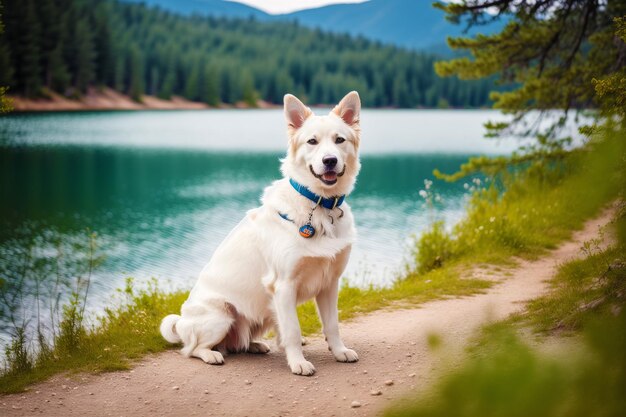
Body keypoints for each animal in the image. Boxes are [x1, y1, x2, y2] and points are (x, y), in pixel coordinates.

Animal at [160, 90, 360, 374]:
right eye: (312, 141)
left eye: (339, 140)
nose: (329, 160)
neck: (319, 204)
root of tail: (182, 323)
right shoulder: (284, 286)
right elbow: (292, 331)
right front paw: (298, 363)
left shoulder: (330, 283)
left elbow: (332, 325)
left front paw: (340, 351)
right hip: (222, 315)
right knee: (191, 349)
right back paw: (211, 355)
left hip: (262, 312)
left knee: (237, 344)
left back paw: (254, 345)